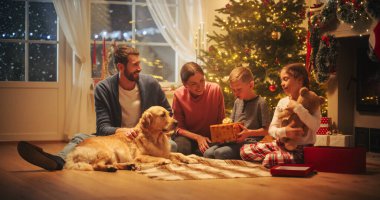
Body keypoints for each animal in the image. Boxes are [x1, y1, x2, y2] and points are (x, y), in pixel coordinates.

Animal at [64, 106, 197, 172]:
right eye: (162, 115)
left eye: (169, 114)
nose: (177, 122)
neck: (155, 138)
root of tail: (73, 151)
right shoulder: (141, 155)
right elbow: (157, 157)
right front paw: (166, 161)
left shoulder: (165, 152)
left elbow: (178, 153)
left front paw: (190, 159)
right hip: (107, 151)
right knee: (96, 165)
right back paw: (112, 168)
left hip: (112, 156)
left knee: (116, 164)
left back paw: (129, 166)